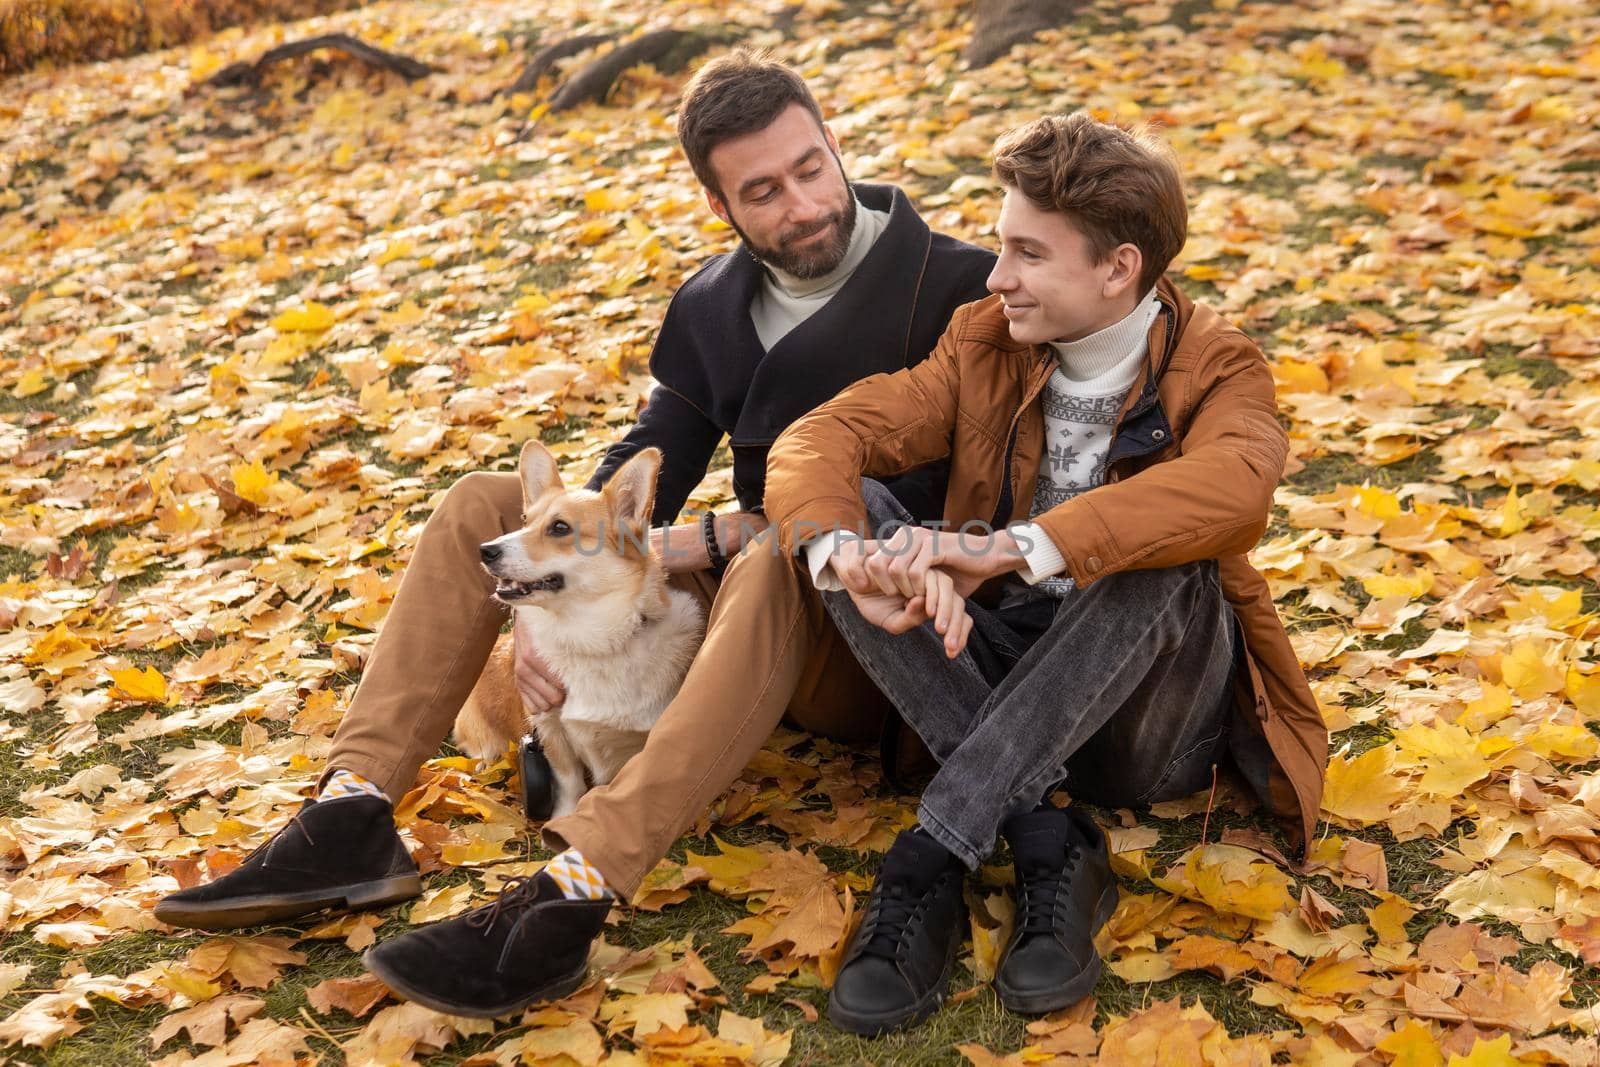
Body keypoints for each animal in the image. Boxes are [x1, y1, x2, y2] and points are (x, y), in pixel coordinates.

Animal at [451, 438, 700, 825]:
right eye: (525, 521)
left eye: (559, 528)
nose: (486, 550)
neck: (591, 641)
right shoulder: (549, 729)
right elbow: (568, 781)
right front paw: (562, 817)